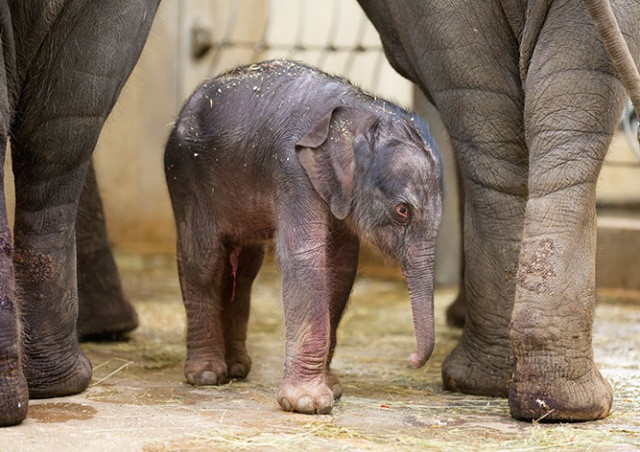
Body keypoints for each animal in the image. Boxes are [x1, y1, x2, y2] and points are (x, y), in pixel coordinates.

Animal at [165, 58, 442, 414]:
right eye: (402, 210)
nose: (412, 359)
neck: (360, 111)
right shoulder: (292, 170)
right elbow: (305, 256)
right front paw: (308, 403)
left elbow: (340, 267)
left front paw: (333, 389)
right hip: (185, 177)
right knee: (204, 262)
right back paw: (207, 375)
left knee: (245, 271)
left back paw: (237, 368)